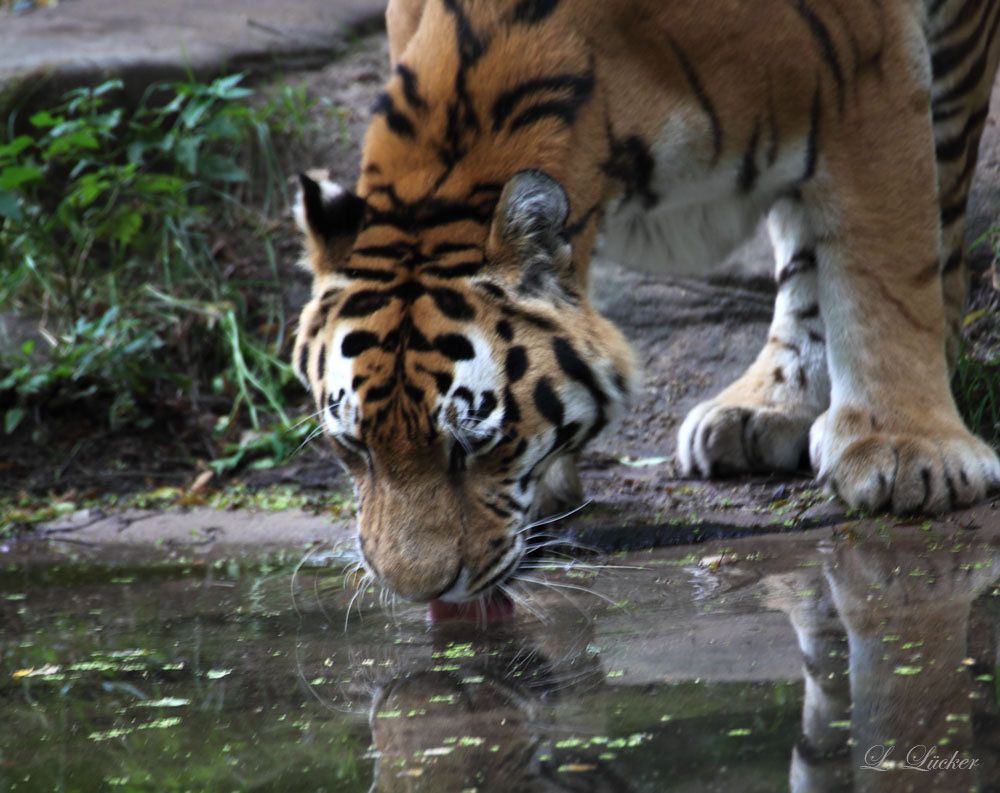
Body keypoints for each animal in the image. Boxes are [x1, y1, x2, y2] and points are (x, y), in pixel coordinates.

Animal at [292, 0, 1000, 600]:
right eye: (353, 448)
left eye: (474, 446)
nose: (418, 594)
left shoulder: (870, 65)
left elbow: (887, 270)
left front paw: (909, 450)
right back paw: (763, 408)